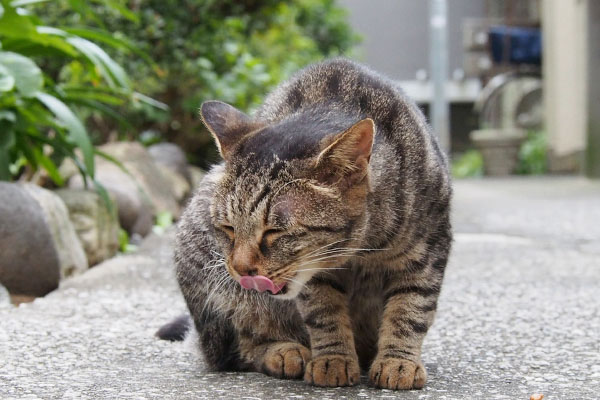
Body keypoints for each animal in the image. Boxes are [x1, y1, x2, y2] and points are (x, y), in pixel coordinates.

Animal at [164, 57, 450, 390]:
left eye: (275, 231)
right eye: (228, 227)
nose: (241, 269)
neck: (363, 247)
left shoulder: (426, 250)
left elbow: (411, 309)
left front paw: (398, 361)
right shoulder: (314, 276)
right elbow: (324, 313)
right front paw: (332, 359)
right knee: (233, 350)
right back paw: (285, 352)